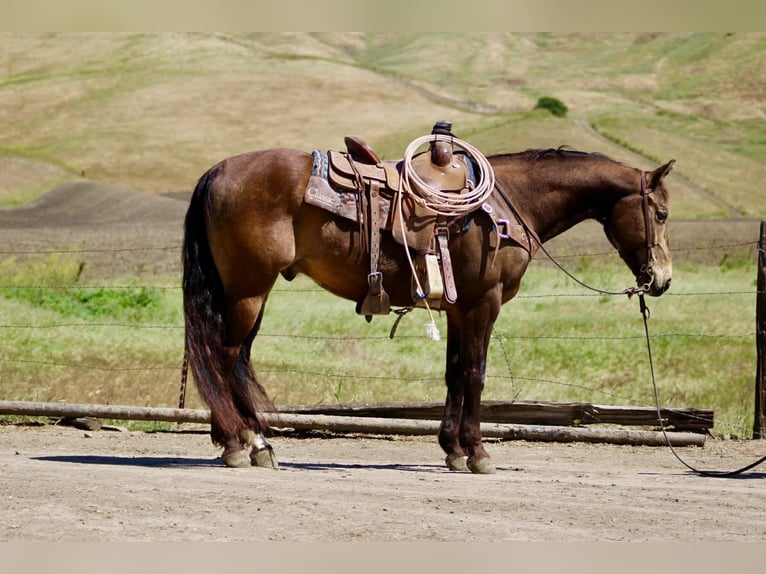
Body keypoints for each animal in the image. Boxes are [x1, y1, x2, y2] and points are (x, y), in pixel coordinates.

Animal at [182, 143, 674, 474]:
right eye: (662, 213)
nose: (663, 280)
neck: (508, 204)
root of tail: (218, 170)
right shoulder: (483, 303)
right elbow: (475, 373)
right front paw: (478, 453)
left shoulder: (460, 309)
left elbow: (454, 374)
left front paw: (452, 450)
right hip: (248, 290)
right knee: (224, 358)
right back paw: (242, 444)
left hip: (251, 293)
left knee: (237, 359)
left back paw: (250, 442)